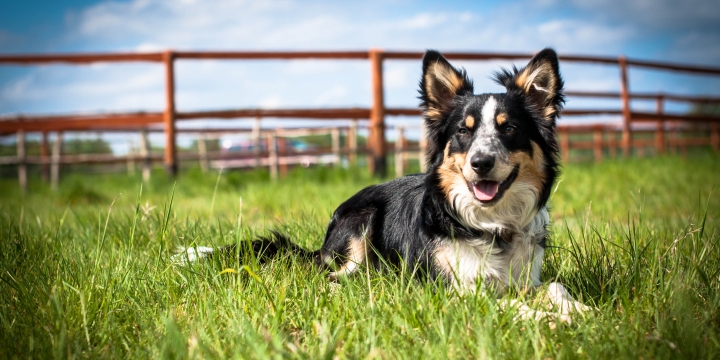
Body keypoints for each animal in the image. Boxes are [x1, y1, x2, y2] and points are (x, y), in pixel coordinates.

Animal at [173, 48, 592, 324]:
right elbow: (504, 303)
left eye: (509, 128)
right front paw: (551, 319)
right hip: (362, 220)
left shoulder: (526, 277)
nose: (481, 163)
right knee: (332, 276)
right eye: (463, 131)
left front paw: (578, 308)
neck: (491, 224)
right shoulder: (453, 290)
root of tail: (323, 243)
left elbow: (555, 286)